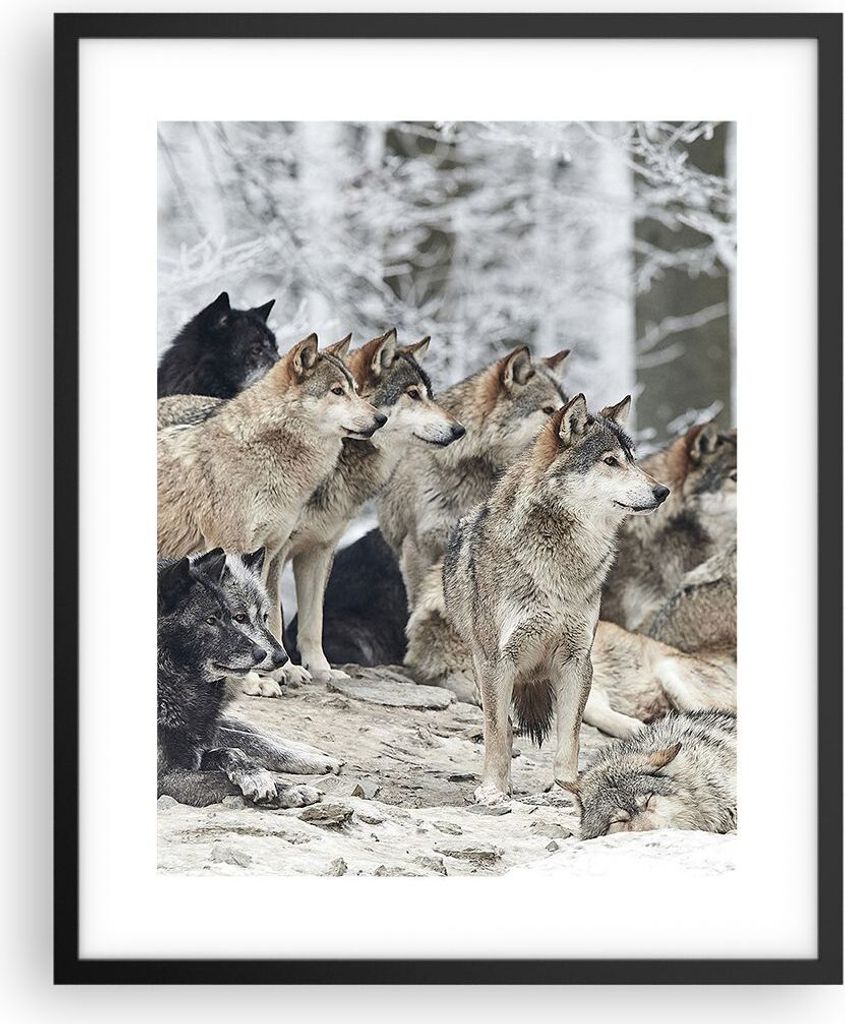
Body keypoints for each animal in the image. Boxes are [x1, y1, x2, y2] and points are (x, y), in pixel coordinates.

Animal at [157, 333, 385, 681]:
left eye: (356, 390)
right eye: (337, 391)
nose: (381, 418)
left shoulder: (270, 551)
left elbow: (268, 613)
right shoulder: (232, 547)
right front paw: (256, 680)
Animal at [157, 549, 338, 808]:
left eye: (265, 617)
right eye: (239, 617)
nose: (281, 658)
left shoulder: (206, 729)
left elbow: (249, 736)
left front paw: (309, 753)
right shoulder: (166, 777)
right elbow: (231, 765)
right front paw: (289, 787)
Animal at [443, 394, 670, 804]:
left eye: (633, 459)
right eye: (610, 461)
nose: (662, 491)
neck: (559, 564)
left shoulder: (577, 661)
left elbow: (570, 739)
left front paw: (566, 789)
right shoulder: (497, 662)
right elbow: (497, 733)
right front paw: (493, 789)